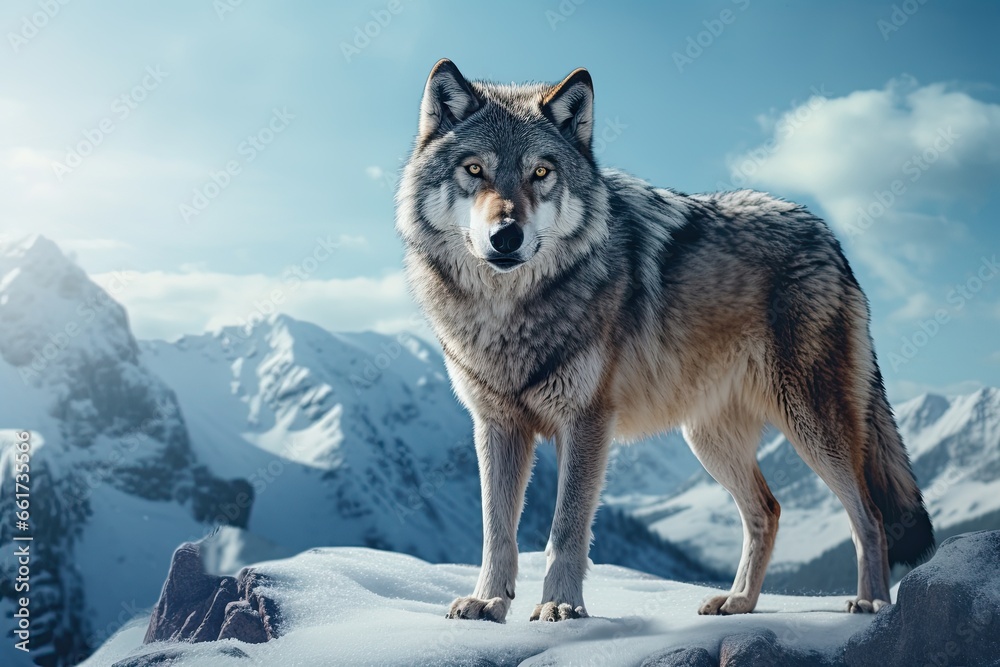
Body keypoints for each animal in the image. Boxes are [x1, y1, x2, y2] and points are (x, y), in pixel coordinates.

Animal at [395, 59, 935, 623]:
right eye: (474, 169)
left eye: (540, 173)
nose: (506, 236)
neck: (509, 312)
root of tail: (828, 236)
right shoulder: (497, 426)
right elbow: (497, 531)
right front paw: (489, 601)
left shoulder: (587, 422)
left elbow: (566, 529)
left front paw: (561, 606)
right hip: (709, 438)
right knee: (768, 509)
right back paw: (739, 602)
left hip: (811, 423)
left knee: (869, 514)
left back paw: (871, 602)